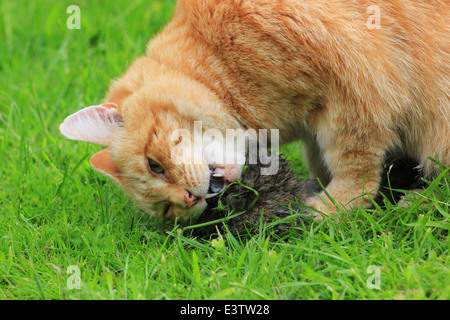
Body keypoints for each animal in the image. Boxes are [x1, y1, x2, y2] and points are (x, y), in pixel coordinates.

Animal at [60, 0, 450, 222]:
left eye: (154, 165)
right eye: (168, 212)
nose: (188, 199)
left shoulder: (354, 89)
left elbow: (354, 168)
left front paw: (327, 209)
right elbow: (320, 159)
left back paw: (418, 204)